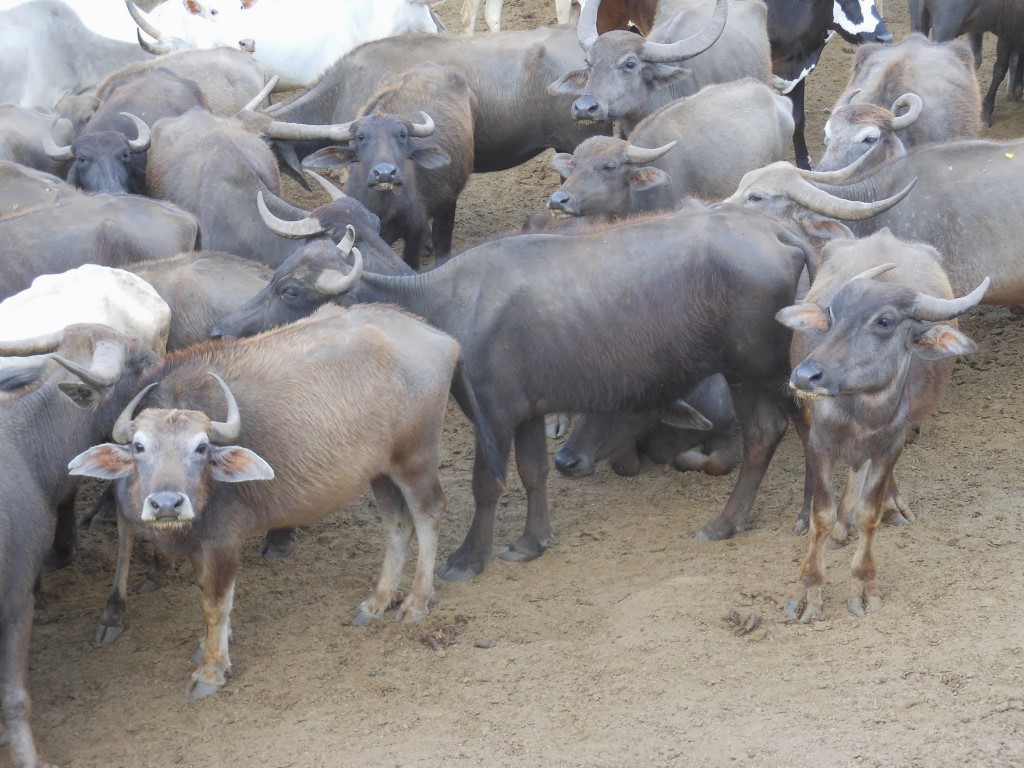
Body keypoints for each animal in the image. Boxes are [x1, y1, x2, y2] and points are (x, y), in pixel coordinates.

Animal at [68, 303, 499, 700]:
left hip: (414, 458)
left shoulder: (224, 538)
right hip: (380, 471)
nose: (167, 504)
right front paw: (210, 646)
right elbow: (208, 591)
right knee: (398, 525)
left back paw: (416, 601)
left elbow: (215, 602)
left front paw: (211, 669)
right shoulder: (199, 542)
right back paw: (377, 602)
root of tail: (440, 338)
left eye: (201, 447)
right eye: (139, 447)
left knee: (429, 514)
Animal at [778, 231, 987, 622]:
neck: (860, 413)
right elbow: (820, 516)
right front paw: (807, 591)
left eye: (885, 322)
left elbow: (869, 514)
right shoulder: (820, 442)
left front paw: (864, 584)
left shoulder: (891, 445)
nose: (805, 375)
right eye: (833, 313)